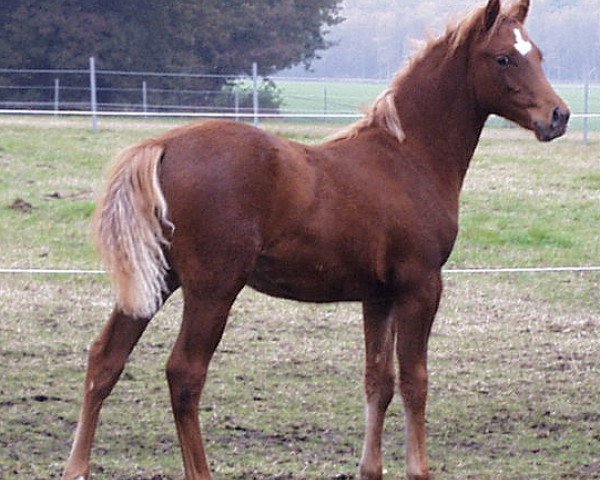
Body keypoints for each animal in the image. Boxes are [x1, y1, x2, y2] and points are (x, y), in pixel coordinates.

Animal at [63, 0, 568, 480]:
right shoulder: (421, 285)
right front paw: (418, 468)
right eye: (503, 58)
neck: (406, 158)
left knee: (105, 359)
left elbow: (378, 380)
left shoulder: (378, 296)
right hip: (212, 287)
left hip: (158, 279)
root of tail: (162, 144)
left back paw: (77, 468)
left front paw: (370, 468)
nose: (558, 116)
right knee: (184, 373)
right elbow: (415, 380)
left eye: (539, 54)